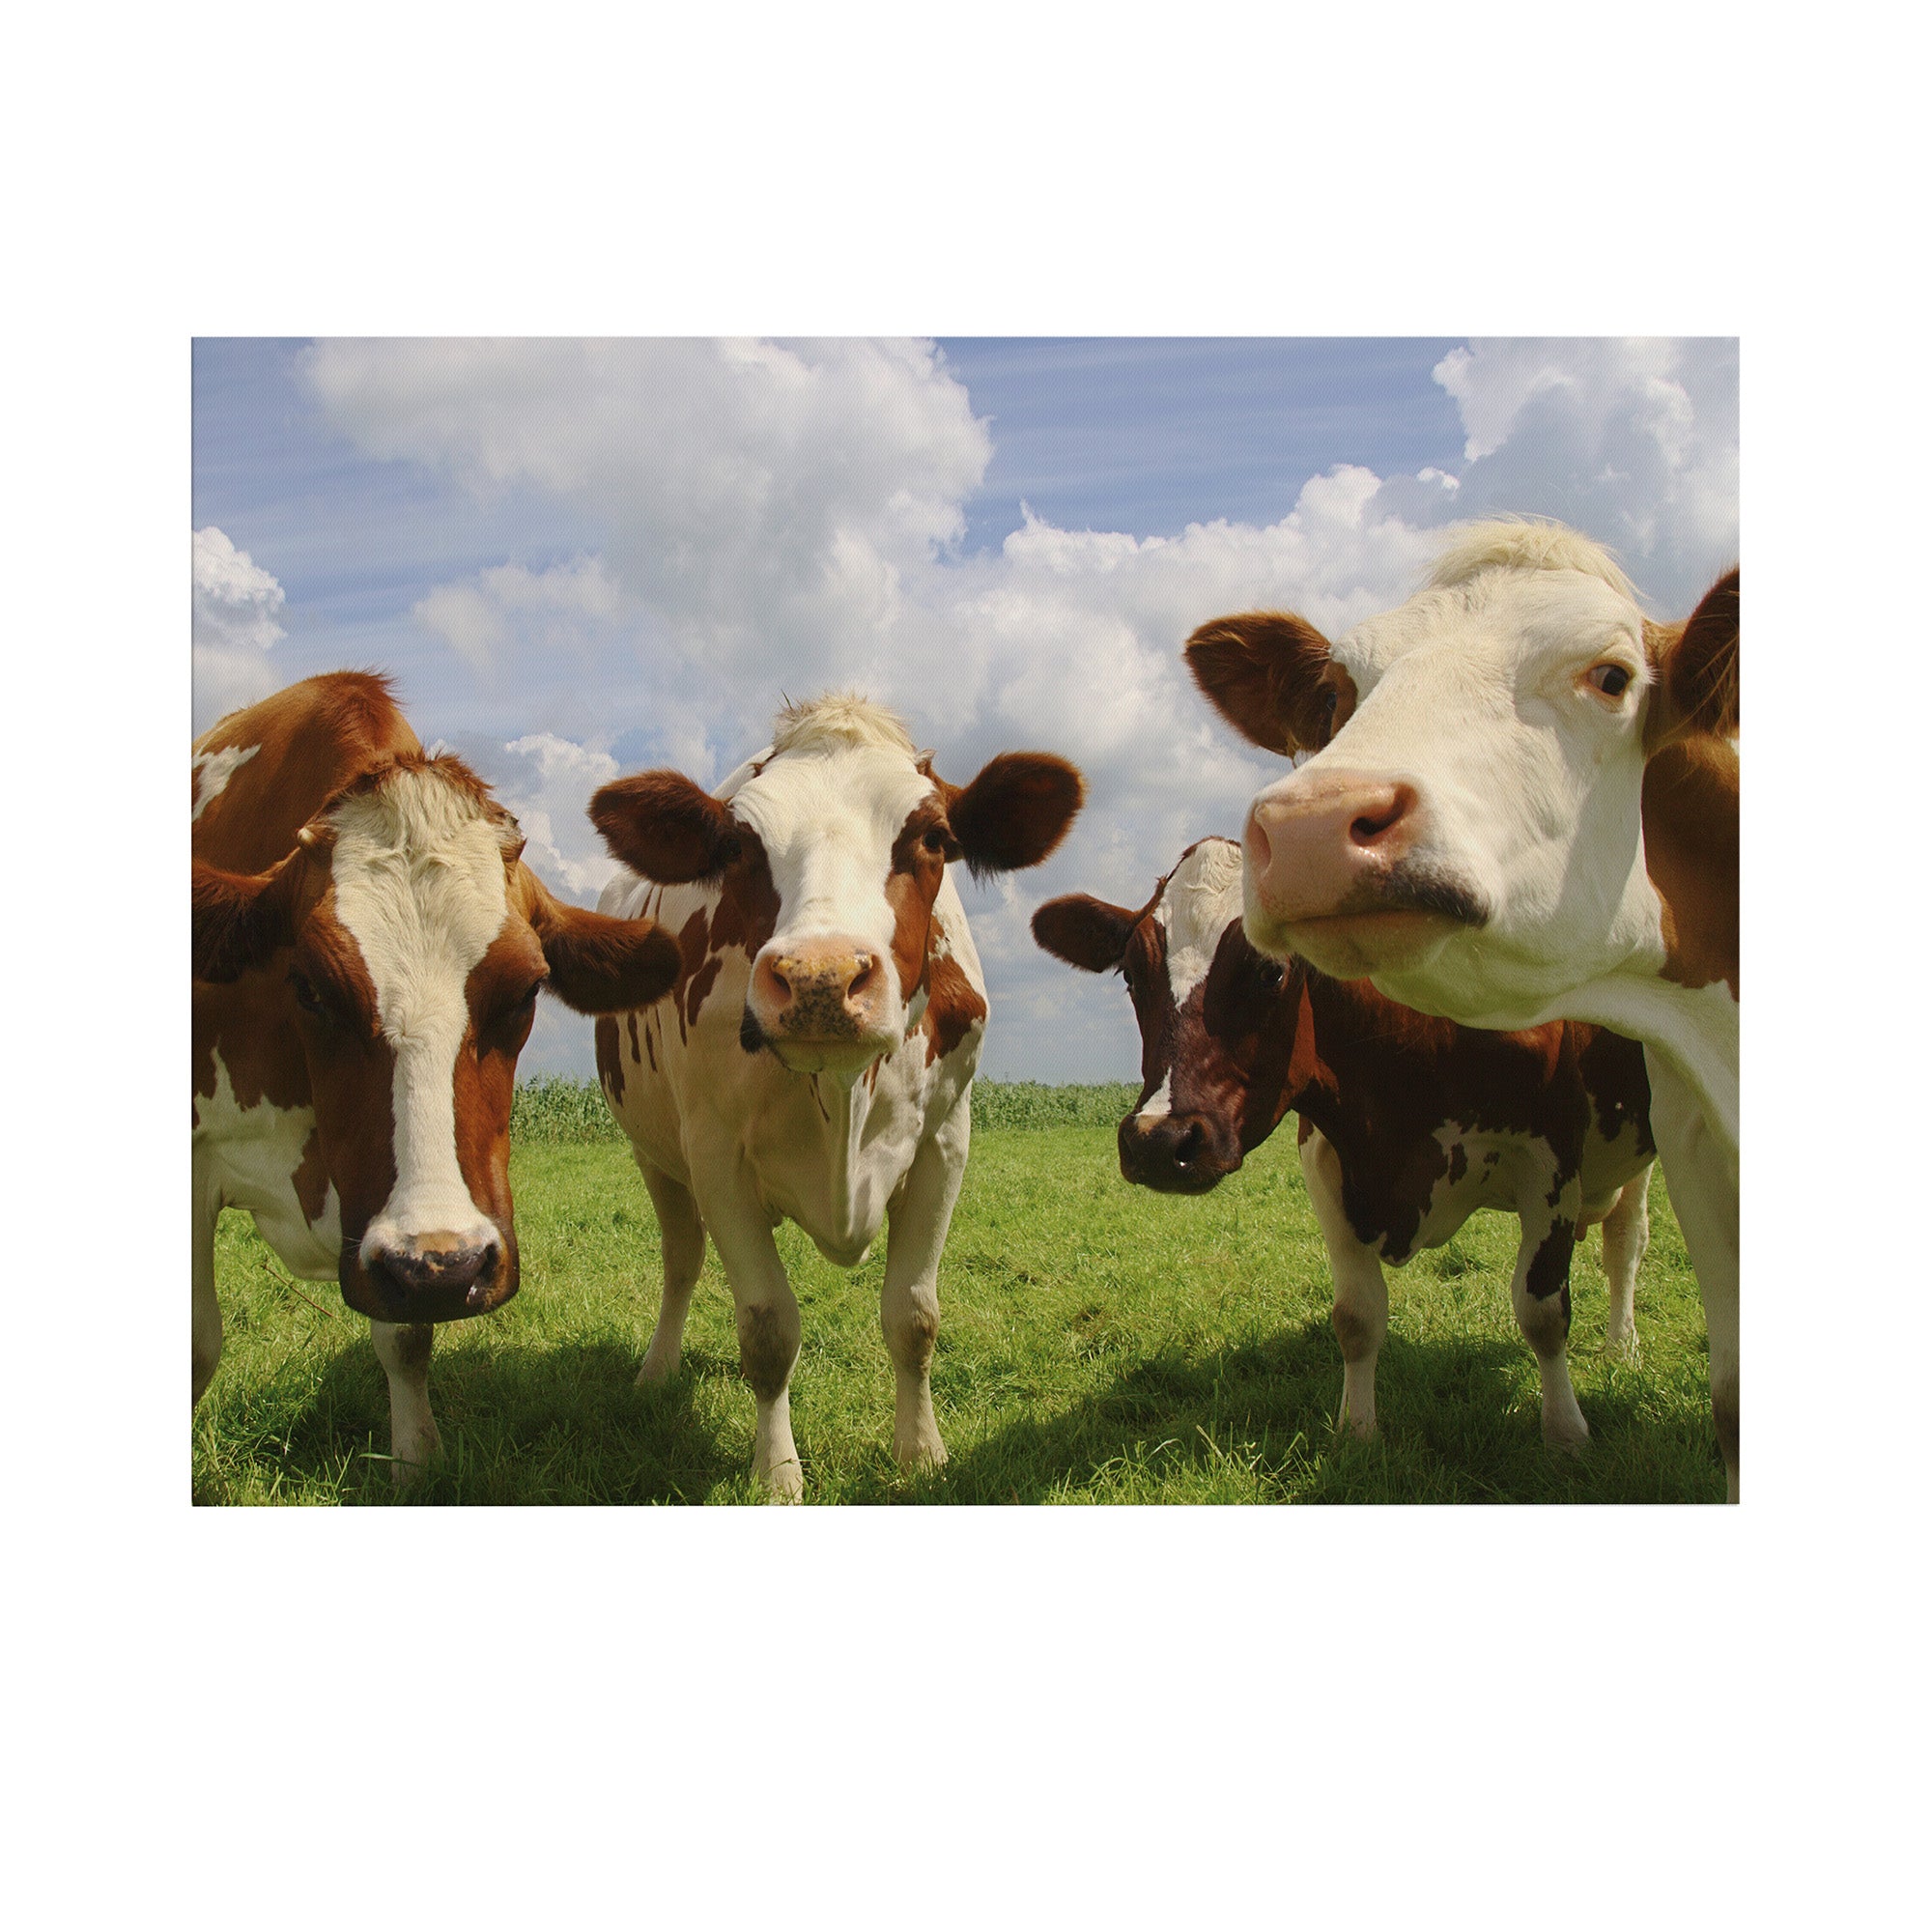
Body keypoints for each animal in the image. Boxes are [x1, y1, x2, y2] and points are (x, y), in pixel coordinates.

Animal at [193, 673, 682, 1480]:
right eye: (310, 989)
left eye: (525, 991)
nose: (445, 1267)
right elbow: (200, 1346)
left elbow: (405, 1335)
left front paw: (416, 1463)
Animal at [586, 694, 1084, 1499]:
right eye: (738, 846)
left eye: (934, 836)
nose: (820, 978)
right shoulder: (714, 1153)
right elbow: (767, 1328)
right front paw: (777, 1474)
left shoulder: (946, 1139)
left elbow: (913, 1316)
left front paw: (922, 1452)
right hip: (653, 1154)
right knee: (681, 1258)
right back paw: (657, 1372)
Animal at [1034, 836, 1654, 1449]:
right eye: (1130, 975)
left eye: (1270, 972)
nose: (1159, 1142)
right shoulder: (1327, 1159)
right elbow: (1356, 1317)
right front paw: (1356, 1432)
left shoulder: (1552, 1156)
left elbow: (1542, 1310)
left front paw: (1566, 1433)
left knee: (1626, 1243)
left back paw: (1621, 1346)